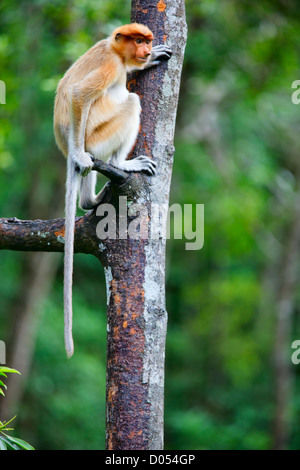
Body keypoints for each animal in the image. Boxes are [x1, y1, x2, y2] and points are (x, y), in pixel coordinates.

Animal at [53, 23, 172, 356]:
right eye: (138, 40)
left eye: (146, 41)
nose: (146, 50)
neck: (114, 50)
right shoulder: (111, 66)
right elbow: (80, 94)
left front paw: (152, 59)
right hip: (95, 139)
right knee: (130, 102)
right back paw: (117, 164)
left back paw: (88, 200)